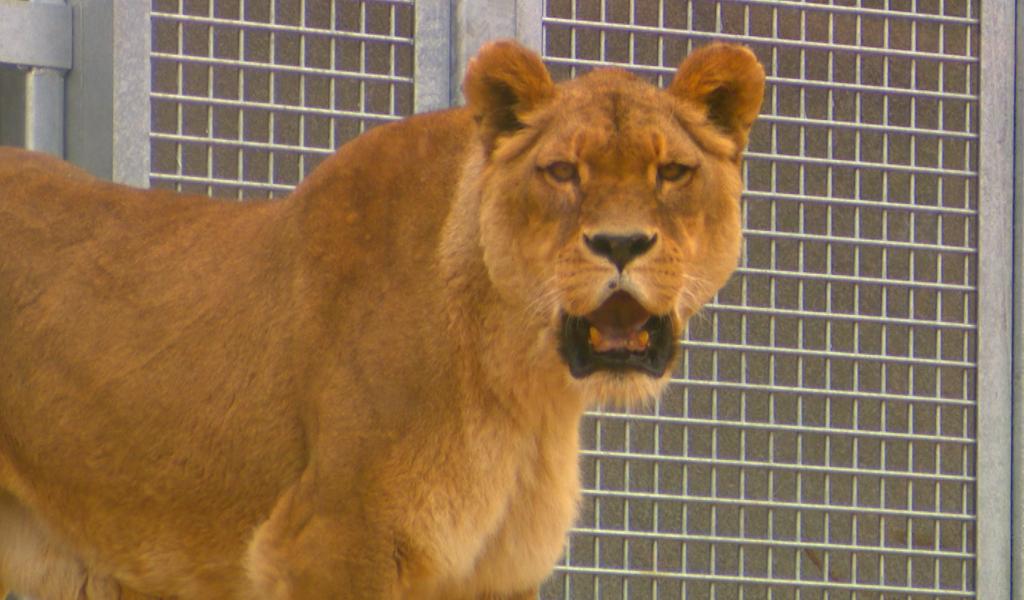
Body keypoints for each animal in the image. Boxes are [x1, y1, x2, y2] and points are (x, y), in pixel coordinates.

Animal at [0, 40, 764, 598]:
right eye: (562, 171)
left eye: (672, 173)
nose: (621, 243)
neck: (523, 387)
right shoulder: (330, 540)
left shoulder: (495, 573)